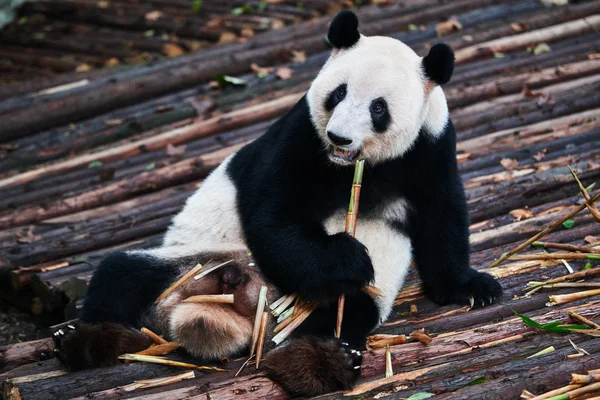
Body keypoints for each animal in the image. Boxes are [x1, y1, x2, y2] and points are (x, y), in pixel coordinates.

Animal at [52, 10, 502, 398]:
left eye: (379, 108)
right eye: (338, 93)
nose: (339, 137)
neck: (357, 166)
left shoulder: (430, 147)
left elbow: (442, 217)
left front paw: (474, 287)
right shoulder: (302, 135)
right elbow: (275, 214)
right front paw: (347, 255)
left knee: (344, 312)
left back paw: (319, 363)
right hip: (193, 263)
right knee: (123, 274)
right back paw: (83, 340)